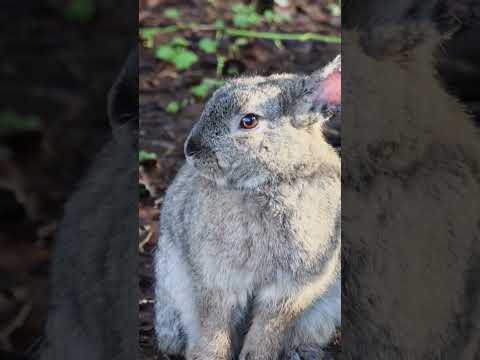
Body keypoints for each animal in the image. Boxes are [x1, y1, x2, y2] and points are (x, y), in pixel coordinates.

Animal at [154, 54, 342, 360]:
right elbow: (215, 327)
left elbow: (267, 329)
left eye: (249, 121)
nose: (191, 149)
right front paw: (210, 357)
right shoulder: (217, 280)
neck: (268, 184)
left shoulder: (290, 289)